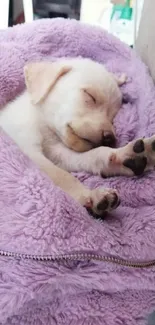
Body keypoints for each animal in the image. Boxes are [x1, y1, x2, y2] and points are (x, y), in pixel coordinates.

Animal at [0, 57, 154, 218]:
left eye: (113, 115)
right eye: (90, 96)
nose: (110, 138)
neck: (45, 127)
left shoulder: (57, 153)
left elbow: (91, 156)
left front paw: (122, 157)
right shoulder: (27, 149)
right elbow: (60, 176)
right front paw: (90, 195)